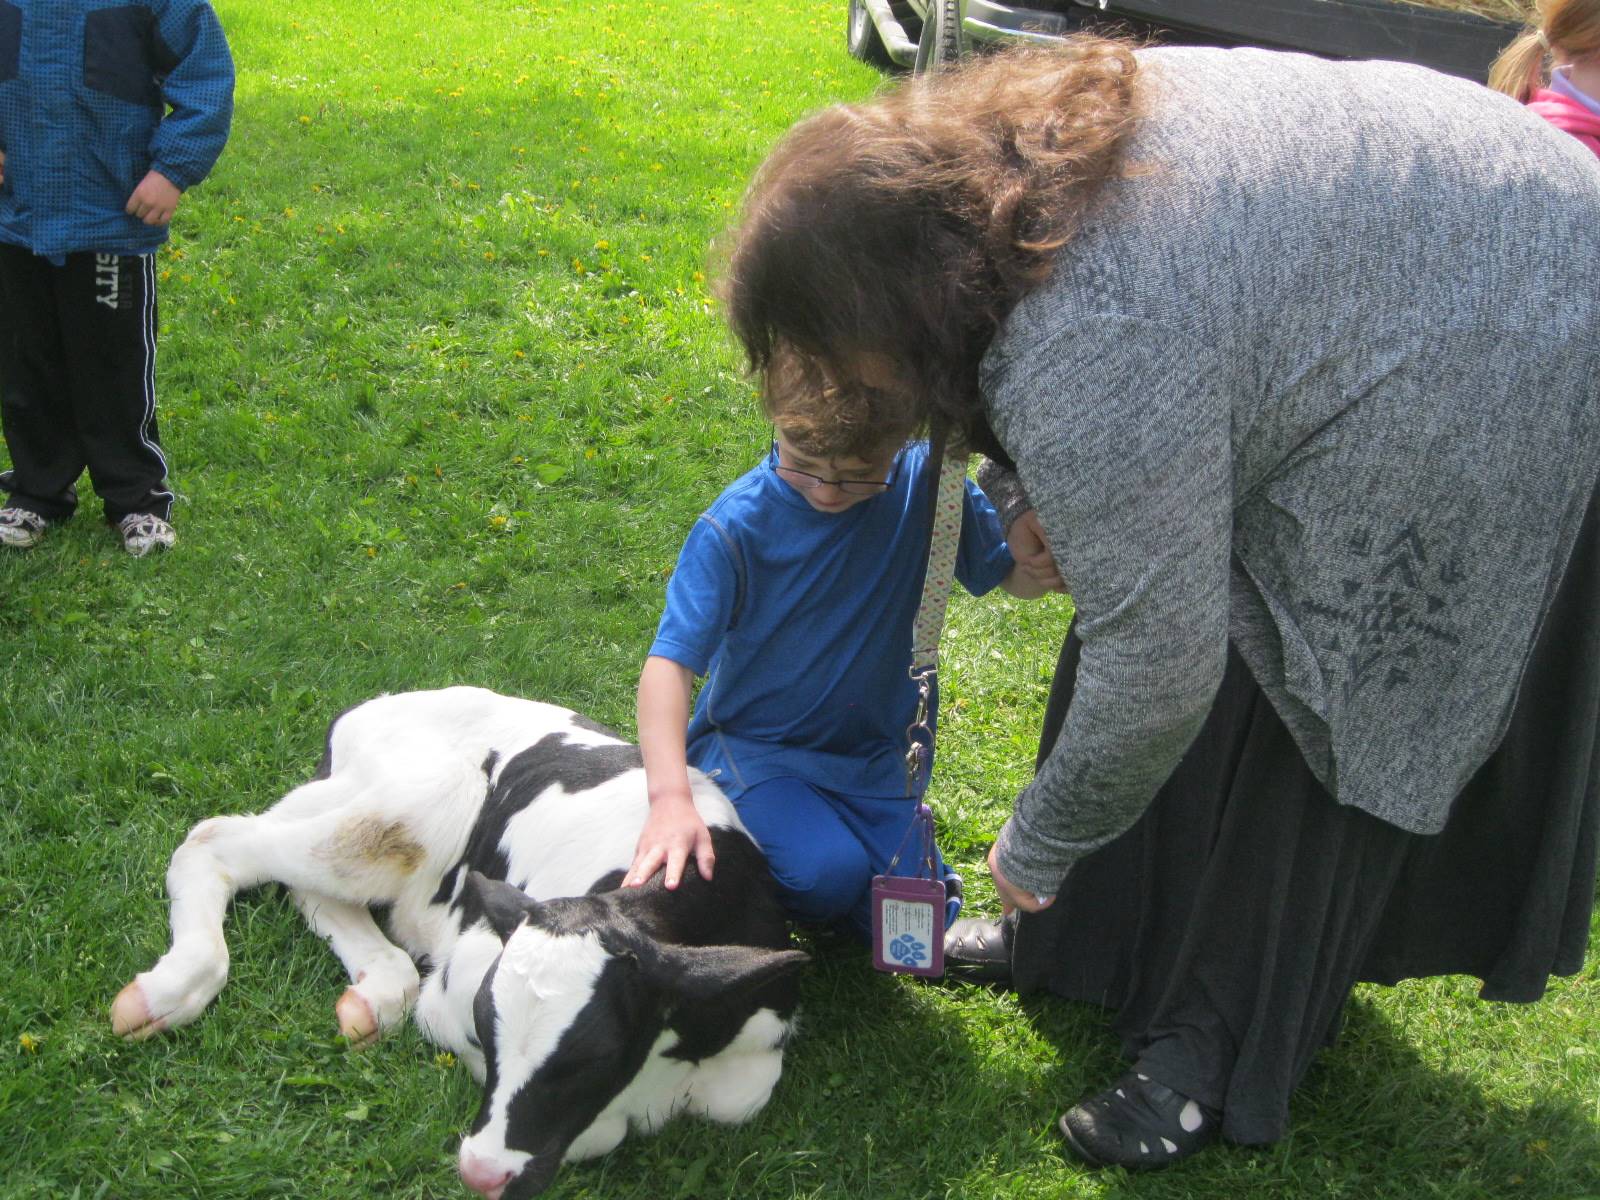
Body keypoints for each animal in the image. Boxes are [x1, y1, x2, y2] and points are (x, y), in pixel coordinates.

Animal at [112, 684, 806, 1200]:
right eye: (485, 1024)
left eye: (594, 1054)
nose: (480, 1171)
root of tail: (372, 704)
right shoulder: (460, 984)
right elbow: (595, 1129)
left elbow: (735, 1097)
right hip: (414, 805)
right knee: (215, 840)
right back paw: (169, 990)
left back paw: (372, 995)